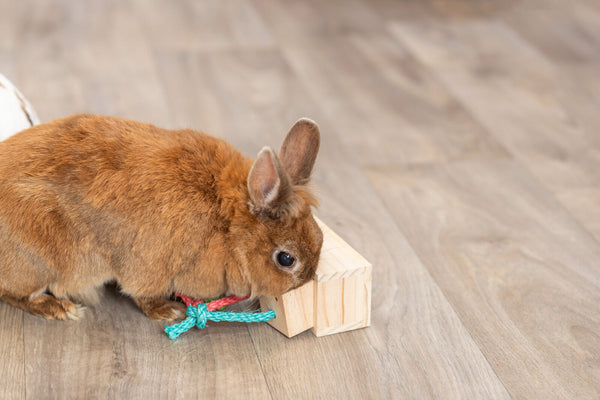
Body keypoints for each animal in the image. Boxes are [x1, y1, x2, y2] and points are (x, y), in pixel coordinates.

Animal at [0, 114, 324, 320]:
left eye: (319, 237)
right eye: (286, 259)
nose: (306, 282)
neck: (228, 224)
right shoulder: (152, 264)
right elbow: (144, 295)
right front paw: (170, 312)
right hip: (38, 262)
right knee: (14, 294)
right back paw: (58, 308)